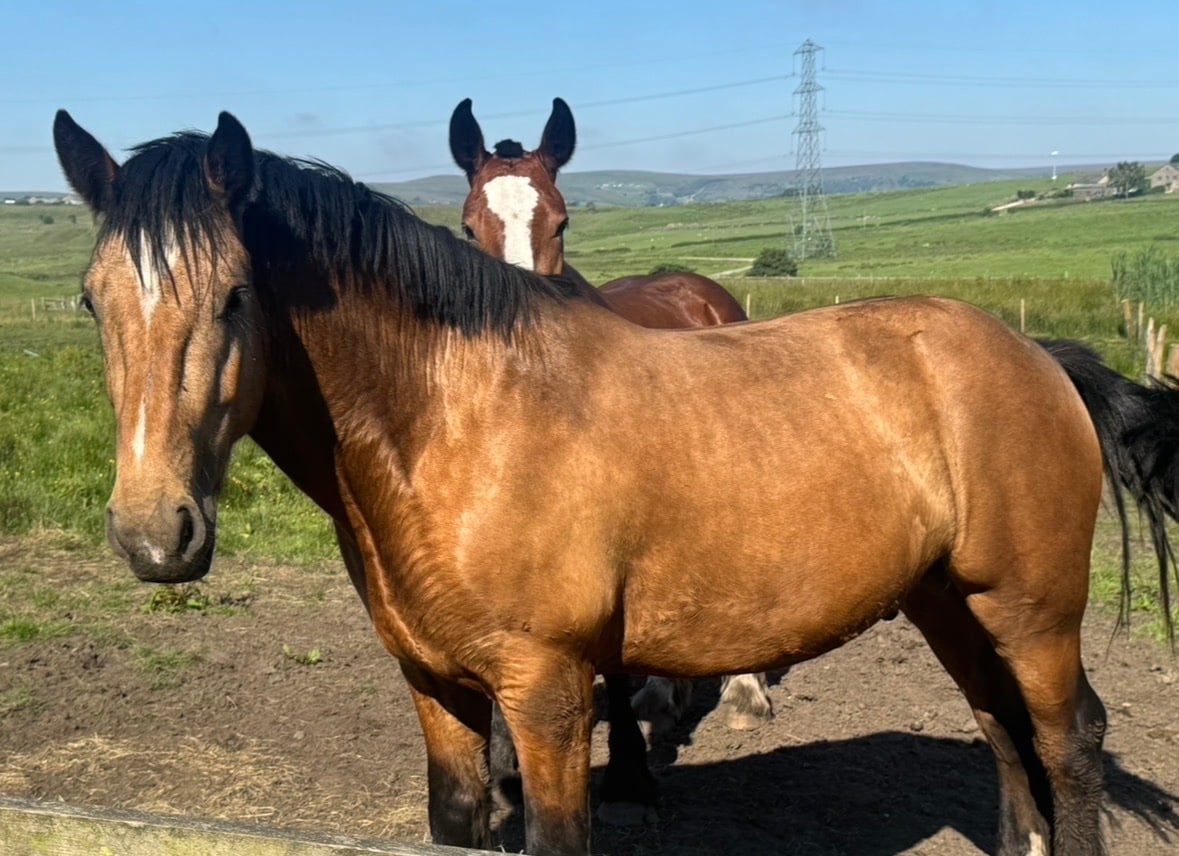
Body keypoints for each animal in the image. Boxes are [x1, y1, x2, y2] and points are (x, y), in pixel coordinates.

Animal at [55, 109, 1179, 856]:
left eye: (235, 295)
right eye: (91, 300)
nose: (156, 534)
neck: (458, 424)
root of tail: (1031, 355)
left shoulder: (548, 693)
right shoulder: (437, 689)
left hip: (1032, 606)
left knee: (1066, 737)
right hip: (946, 600)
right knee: (999, 727)